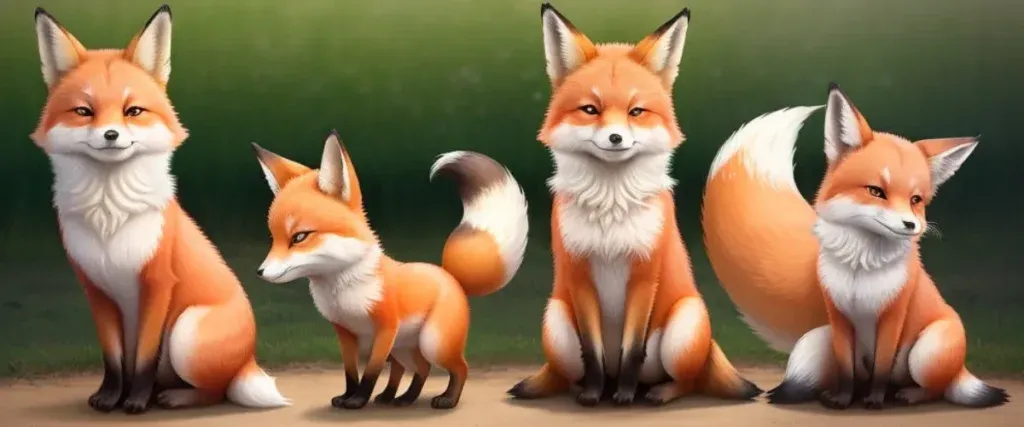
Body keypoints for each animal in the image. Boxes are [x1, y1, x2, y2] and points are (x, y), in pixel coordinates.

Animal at [30, 5, 289, 414]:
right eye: (84, 111)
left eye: (132, 111)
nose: (111, 135)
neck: (109, 219)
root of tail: (248, 360)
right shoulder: (95, 289)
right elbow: (114, 361)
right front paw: (109, 398)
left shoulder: (157, 283)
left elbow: (143, 360)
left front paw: (134, 402)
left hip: (185, 332)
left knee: (217, 390)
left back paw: (173, 397)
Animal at [251, 130, 529, 410]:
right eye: (273, 238)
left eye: (299, 237)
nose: (260, 272)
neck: (344, 293)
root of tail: (450, 275)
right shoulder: (345, 334)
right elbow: (351, 372)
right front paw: (348, 396)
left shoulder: (386, 328)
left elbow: (371, 373)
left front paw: (358, 400)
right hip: (403, 349)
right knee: (418, 369)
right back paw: (399, 397)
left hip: (432, 343)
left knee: (460, 367)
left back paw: (447, 399)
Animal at [507, 3, 761, 407]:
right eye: (590, 110)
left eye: (636, 112)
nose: (615, 138)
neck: (611, 209)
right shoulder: (580, 272)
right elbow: (593, 353)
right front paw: (594, 395)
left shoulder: (645, 272)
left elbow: (632, 350)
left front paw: (625, 396)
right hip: (556, 323)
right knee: (572, 370)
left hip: (683, 328)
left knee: (686, 378)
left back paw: (656, 391)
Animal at [702, 82, 1008, 408]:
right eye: (876, 191)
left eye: (916, 199)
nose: (911, 225)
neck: (860, 273)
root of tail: (962, 369)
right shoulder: (838, 317)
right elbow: (846, 369)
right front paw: (843, 399)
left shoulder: (892, 316)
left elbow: (882, 367)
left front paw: (874, 401)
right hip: (813, 342)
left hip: (925, 352)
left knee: (936, 386)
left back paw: (907, 394)